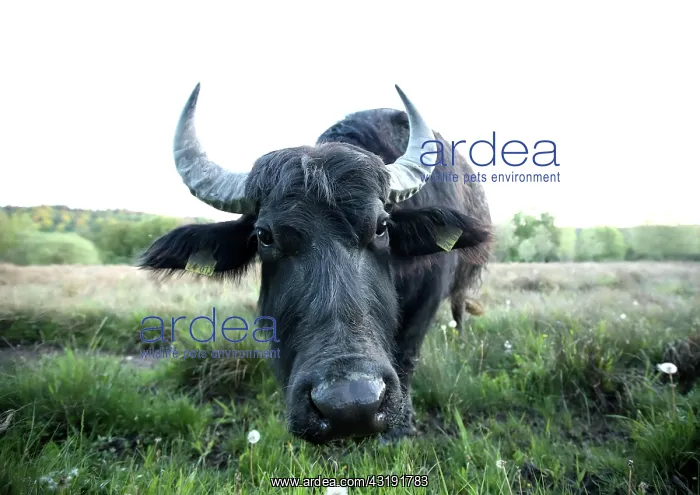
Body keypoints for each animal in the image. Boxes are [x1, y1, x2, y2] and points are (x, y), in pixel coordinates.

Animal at [139, 83, 493, 444]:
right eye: (265, 236)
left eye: (382, 227)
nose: (350, 407)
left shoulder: (427, 300)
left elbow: (407, 353)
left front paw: (400, 427)